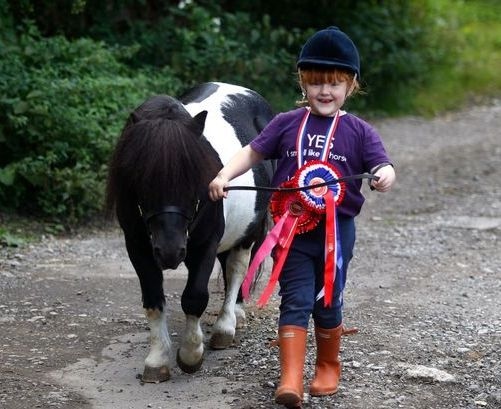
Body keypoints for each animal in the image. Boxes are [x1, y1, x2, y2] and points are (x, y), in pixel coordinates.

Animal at [105, 81, 274, 380]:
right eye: (141, 180)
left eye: (194, 178)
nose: (170, 251)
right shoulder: (137, 246)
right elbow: (153, 298)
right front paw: (158, 359)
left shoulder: (205, 244)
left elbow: (195, 297)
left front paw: (190, 354)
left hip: (247, 232)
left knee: (237, 269)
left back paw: (227, 325)